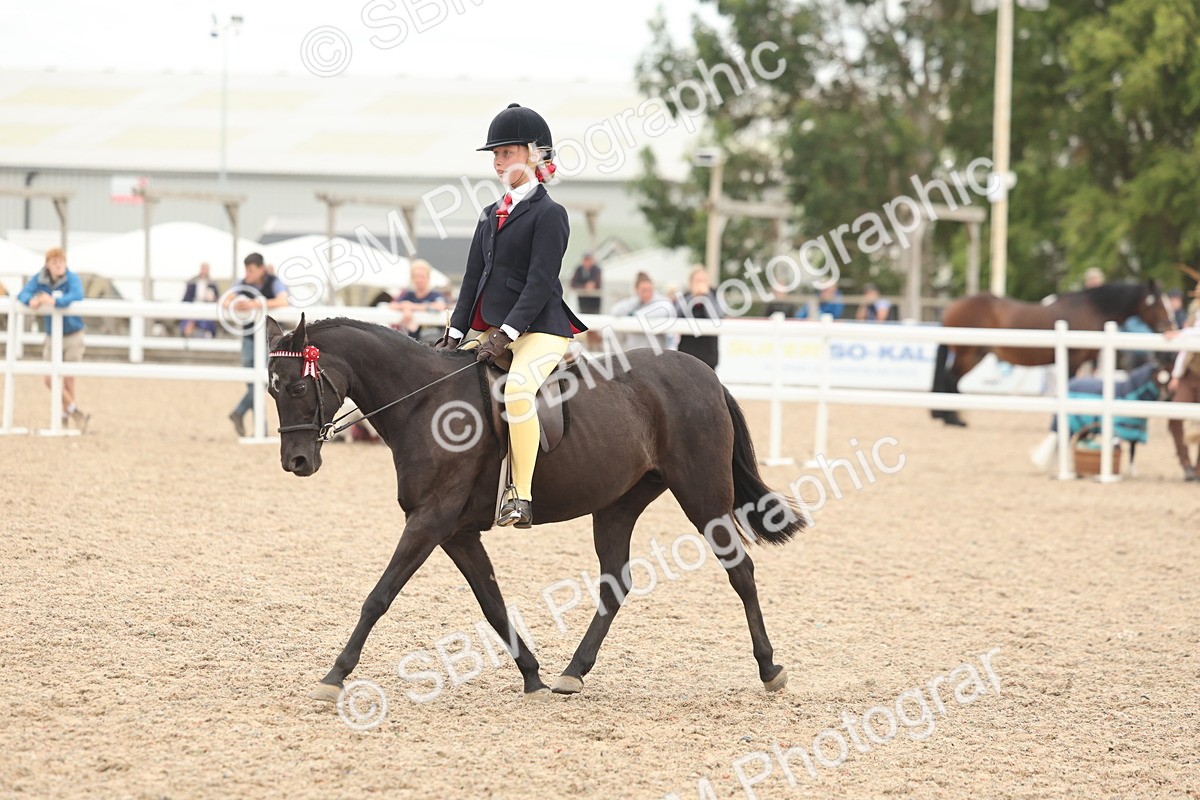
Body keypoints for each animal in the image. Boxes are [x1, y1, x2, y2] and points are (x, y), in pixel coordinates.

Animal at [263, 314, 808, 702]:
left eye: (297, 386)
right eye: (272, 388)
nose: (296, 461)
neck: (425, 402)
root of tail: (704, 374)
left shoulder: (431, 520)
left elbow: (379, 596)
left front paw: (334, 675)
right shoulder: (456, 531)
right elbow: (491, 603)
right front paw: (532, 675)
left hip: (702, 494)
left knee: (740, 570)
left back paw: (769, 668)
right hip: (617, 505)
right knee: (615, 582)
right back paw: (572, 673)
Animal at [931, 281, 1175, 426]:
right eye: (1156, 303)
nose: (1169, 327)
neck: (1091, 308)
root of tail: (951, 307)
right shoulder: (1073, 359)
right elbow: (1067, 386)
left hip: (975, 355)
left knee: (952, 379)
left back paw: (948, 415)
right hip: (967, 353)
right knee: (950, 379)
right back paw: (952, 419)